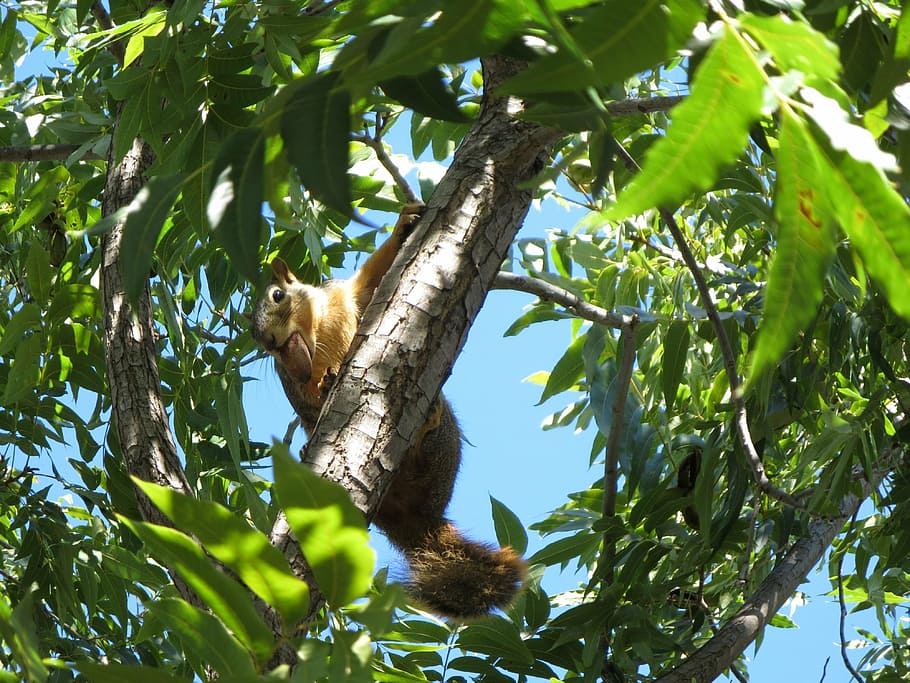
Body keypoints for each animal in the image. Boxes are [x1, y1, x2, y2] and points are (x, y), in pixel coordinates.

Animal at [251, 203, 526, 619]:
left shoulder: (351, 295)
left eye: (278, 295)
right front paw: (323, 386)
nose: (268, 341)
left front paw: (404, 223)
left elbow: (374, 274)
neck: (320, 328)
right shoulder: (293, 380)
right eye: (255, 337)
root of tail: (418, 519)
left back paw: (426, 421)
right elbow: (308, 403)